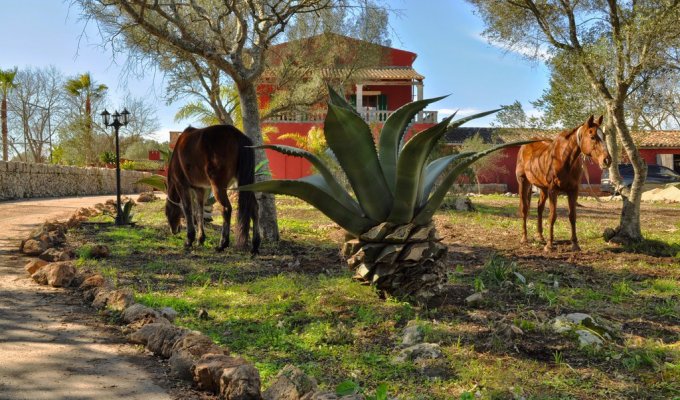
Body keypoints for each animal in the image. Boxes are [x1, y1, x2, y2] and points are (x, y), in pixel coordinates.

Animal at [165, 125, 260, 255]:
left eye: (167, 212)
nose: (173, 230)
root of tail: (236, 134)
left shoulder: (182, 186)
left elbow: (188, 209)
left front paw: (189, 240)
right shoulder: (200, 189)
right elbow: (199, 211)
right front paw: (200, 239)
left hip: (218, 187)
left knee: (226, 209)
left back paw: (222, 244)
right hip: (244, 184)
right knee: (254, 208)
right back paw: (255, 246)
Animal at [516, 115, 612, 250]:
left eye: (603, 136)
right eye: (592, 136)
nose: (607, 160)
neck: (564, 159)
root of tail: (525, 146)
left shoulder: (573, 190)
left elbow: (572, 216)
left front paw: (575, 244)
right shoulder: (553, 190)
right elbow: (552, 216)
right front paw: (549, 245)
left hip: (543, 188)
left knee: (540, 208)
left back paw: (540, 236)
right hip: (523, 181)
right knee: (524, 208)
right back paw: (524, 238)